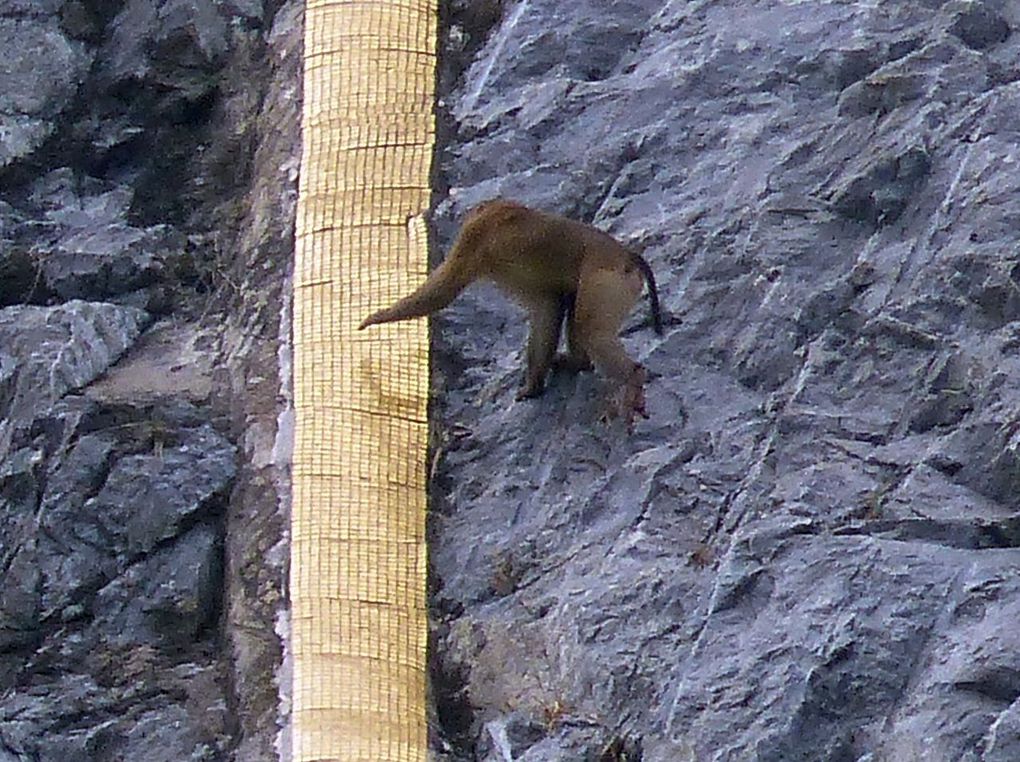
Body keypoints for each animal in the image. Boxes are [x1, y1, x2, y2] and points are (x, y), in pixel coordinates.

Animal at [359, 199, 660, 428]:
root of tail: (626, 256)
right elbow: (549, 306)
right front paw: (534, 385)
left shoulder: (473, 239)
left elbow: (442, 291)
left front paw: (376, 317)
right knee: (577, 314)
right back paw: (578, 363)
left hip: (609, 280)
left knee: (590, 329)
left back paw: (632, 378)